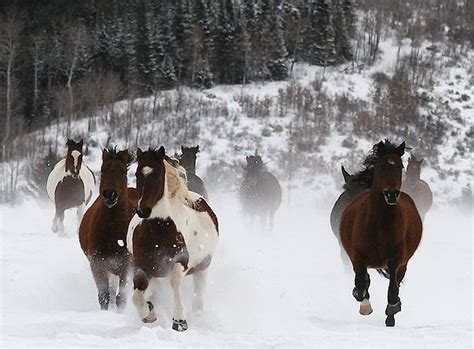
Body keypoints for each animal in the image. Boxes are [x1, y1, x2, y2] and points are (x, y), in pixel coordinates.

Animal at [78, 147, 138, 310]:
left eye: (123, 172)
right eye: (103, 170)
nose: (110, 194)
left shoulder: (126, 265)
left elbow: (121, 298)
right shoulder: (98, 264)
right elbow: (104, 296)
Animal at [126, 145, 218, 330]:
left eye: (158, 175)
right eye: (137, 174)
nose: (143, 210)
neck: (158, 229)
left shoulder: (180, 261)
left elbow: (175, 282)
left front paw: (179, 321)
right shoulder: (142, 267)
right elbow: (137, 297)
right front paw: (149, 313)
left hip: (203, 268)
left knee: (198, 296)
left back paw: (198, 316)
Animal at [340, 139, 422, 326]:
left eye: (400, 166)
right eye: (382, 166)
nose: (391, 194)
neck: (379, 223)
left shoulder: (396, 259)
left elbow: (392, 288)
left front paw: (392, 310)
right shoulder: (358, 257)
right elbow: (361, 284)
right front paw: (365, 307)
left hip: (403, 263)